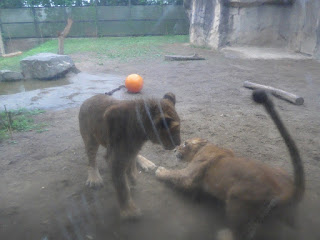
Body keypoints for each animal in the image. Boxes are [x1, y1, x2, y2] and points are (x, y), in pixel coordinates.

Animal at [144, 90, 304, 240]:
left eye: (185, 143)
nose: (175, 149)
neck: (205, 147)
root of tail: (286, 190)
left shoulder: (189, 177)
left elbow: (174, 173)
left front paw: (159, 170)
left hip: (236, 198)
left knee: (240, 233)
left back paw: (223, 234)